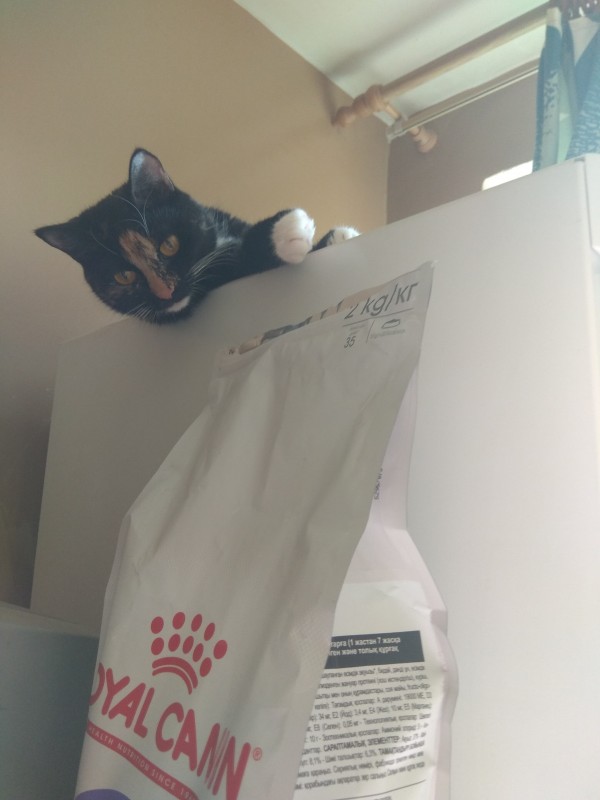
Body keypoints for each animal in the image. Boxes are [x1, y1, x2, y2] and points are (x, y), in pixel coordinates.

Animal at [35, 148, 359, 324]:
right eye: (123, 276)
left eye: (169, 245)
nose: (165, 292)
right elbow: (232, 259)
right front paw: (284, 231)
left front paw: (339, 237)